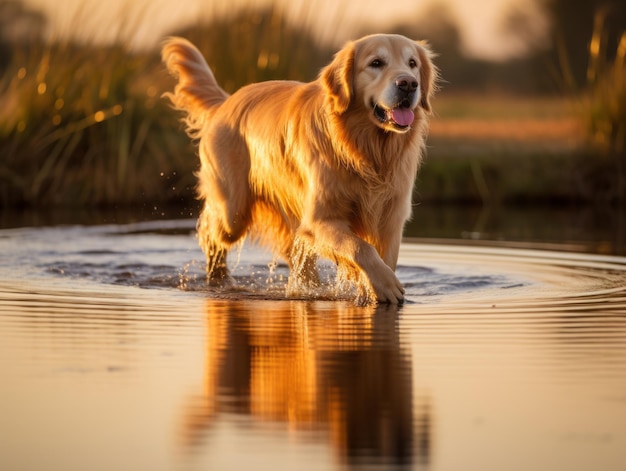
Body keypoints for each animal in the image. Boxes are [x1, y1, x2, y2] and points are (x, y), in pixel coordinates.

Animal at [161, 34, 434, 306]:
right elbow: (359, 247)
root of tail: (225, 101)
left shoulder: (391, 217)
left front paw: (372, 287)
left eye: (412, 63)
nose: (408, 84)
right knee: (210, 233)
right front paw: (386, 285)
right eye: (376, 63)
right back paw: (219, 279)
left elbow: (381, 255)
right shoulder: (318, 220)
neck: (364, 151)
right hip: (233, 212)